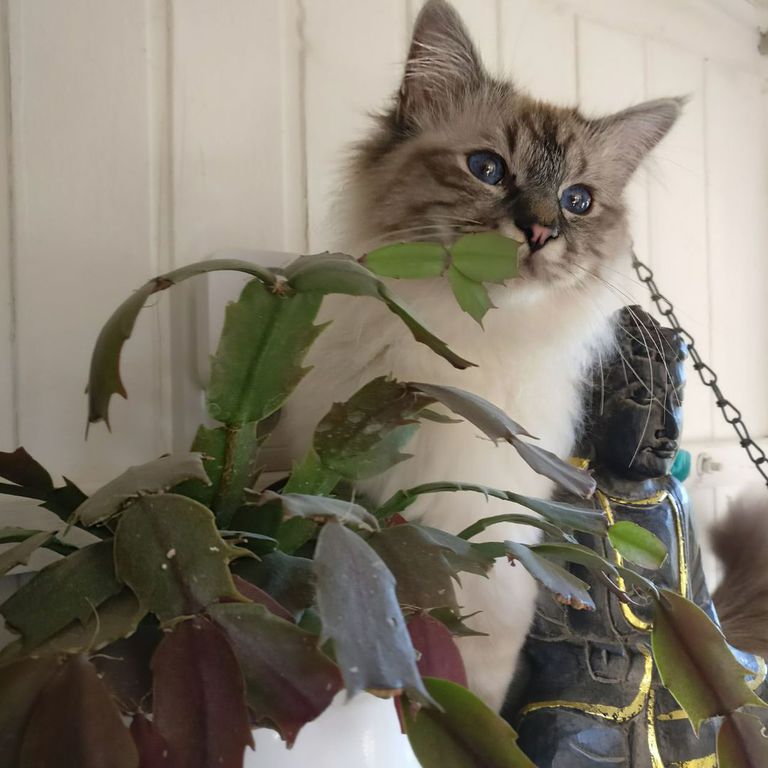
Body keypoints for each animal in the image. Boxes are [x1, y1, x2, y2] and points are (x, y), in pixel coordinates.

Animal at [280, 0, 682, 711]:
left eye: (578, 201)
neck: (477, 341)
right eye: (487, 169)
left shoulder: (497, 550)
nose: (541, 230)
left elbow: (480, 684)